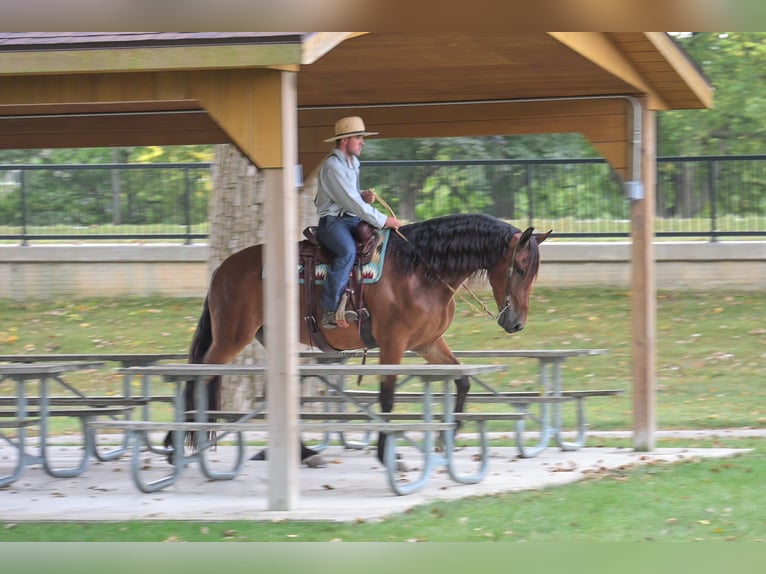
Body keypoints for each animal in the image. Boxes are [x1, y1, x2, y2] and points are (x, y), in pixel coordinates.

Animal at [172, 213, 550, 466]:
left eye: (534, 272)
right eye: (519, 269)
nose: (516, 323)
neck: (420, 269)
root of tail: (223, 270)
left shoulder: (427, 344)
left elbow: (463, 381)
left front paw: (447, 439)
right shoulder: (393, 344)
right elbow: (387, 398)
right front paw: (386, 455)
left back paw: (303, 453)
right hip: (230, 338)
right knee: (198, 376)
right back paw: (177, 443)